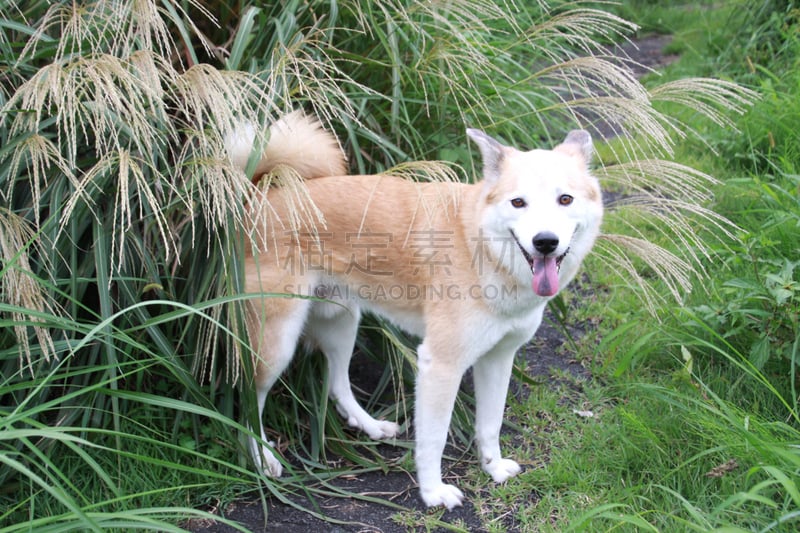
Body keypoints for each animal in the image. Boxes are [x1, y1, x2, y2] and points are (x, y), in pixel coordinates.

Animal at [225, 112, 600, 508]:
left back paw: (370, 425)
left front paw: (493, 467)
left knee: (338, 386)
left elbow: (490, 424)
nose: (545, 242)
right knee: (248, 401)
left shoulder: (498, 358)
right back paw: (262, 457)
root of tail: (261, 194)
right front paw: (433, 492)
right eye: (518, 203)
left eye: (565, 199)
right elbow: (434, 439)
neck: (481, 248)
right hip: (275, 346)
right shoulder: (440, 366)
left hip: (343, 323)